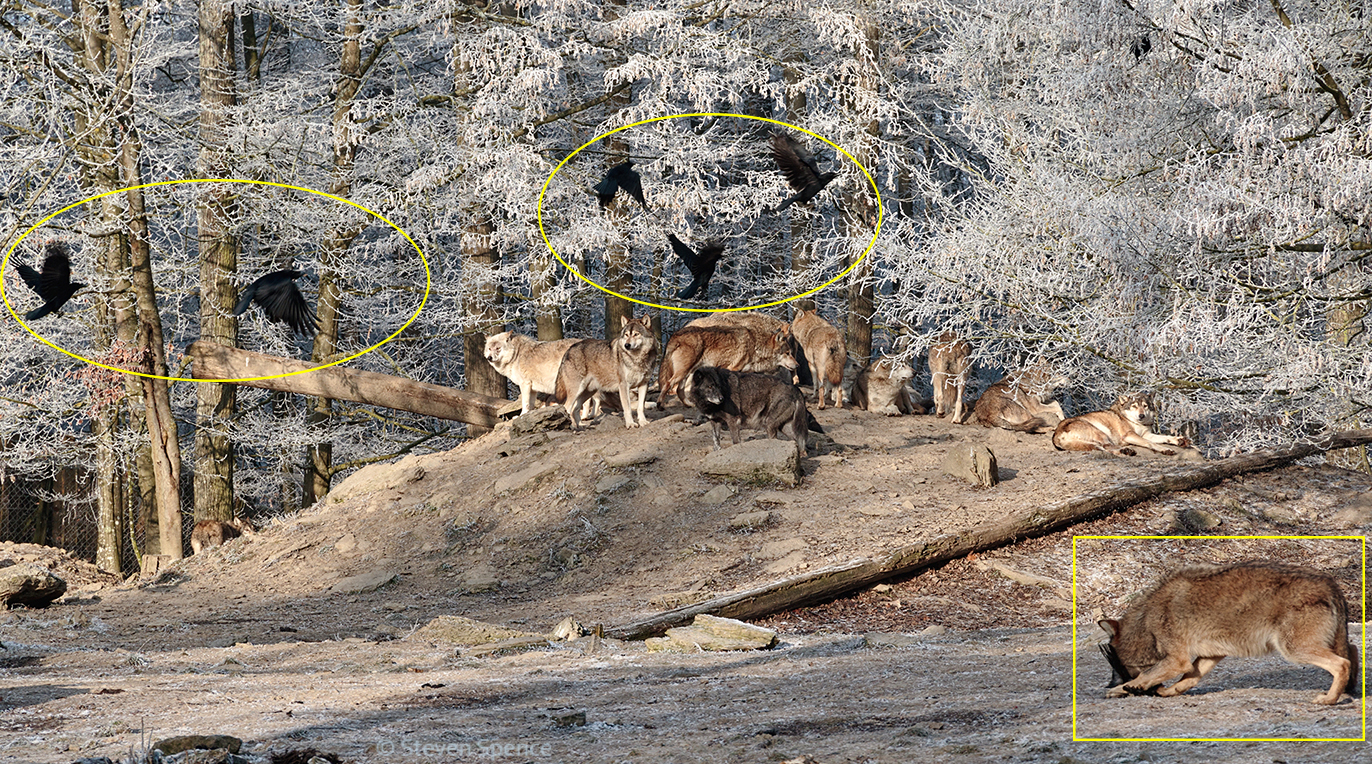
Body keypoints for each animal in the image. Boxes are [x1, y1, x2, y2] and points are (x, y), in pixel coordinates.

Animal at [658, 325, 797, 408]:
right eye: (787, 353)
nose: (797, 365)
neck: (756, 346)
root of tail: (674, 335)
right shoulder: (732, 369)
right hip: (683, 371)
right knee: (668, 384)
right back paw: (660, 405)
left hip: (688, 372)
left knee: (678, 389)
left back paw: (689, 405)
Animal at [685, 365, 822, 456]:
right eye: (709, 386)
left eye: (718, 386)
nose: (721, 399)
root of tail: (796, 389)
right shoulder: (715, 421)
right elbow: (716, 440)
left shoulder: (733, 422)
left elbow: (735, 442)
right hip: (784, 427)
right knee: (800, 444)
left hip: (770, 424)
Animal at [1053, 391, 1189, 456]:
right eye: (1134, 406)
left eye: (1145, 406)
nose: (1141, 415)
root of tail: (1056, 436)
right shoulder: (1129, 435)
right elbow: (1150, 443)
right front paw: (1165, 449)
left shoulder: (1146, 434)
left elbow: (1164, 437)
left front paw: (1179, 440)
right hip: (1101, 434)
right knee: (1106, 447)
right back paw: (1126, 451)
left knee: (1103, 449)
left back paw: (1126, 451)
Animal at [1100, 562, 1360, 705]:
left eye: (1115, 667)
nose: (1108, 683)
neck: (1146, 621)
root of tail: (1331, 583)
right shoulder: (1209, 656)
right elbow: (1188, 679)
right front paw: (1167, 691)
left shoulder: (1178, 660)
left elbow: (1146, 676)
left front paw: (1121, 689)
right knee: (1353, 650)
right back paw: (1351, 690)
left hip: (1293, 650)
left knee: (1342, 663)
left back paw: (1329, 700)